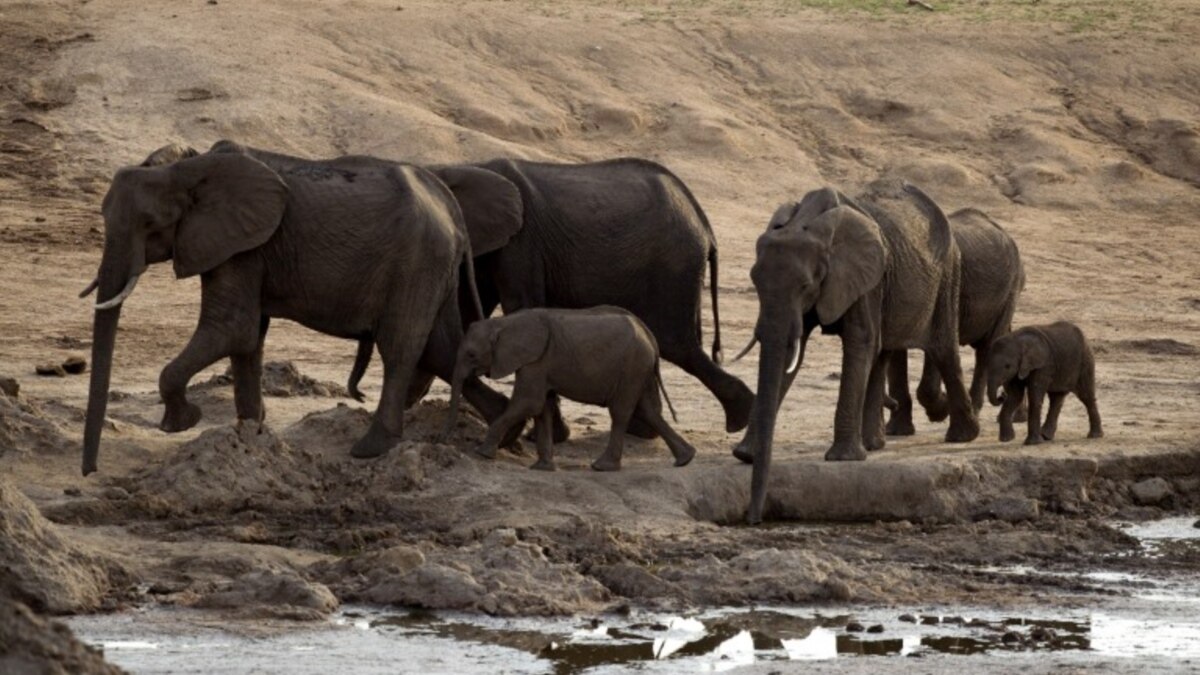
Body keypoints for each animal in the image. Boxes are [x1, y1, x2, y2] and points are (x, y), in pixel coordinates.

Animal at [79, 141, 515, 475]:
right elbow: (247, 337)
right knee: (442, 349)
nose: (91, 472)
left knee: (401, 349)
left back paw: (370, 449)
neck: (190, 164)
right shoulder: (245, 246)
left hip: (417, 262)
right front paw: (250, 432)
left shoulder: (242, 247)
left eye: (150, 223)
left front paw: (181, 424)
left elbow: (230, 328)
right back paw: (513, 431)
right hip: (436, 267)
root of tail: (450, 206)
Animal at [444, 307, 696, 472]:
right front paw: (542, 468)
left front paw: (482, 453)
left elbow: (529, 402)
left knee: (621, 412)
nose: (444, 440)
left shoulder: (536, 361)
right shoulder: (541, 364)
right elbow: (542, 407)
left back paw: (603, 467)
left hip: (632, 367)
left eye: (471, 355)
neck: (503, 323)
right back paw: (685, 459)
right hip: (638, 369)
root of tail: (650, 337)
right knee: (647, 411)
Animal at [733, 181, 980, 523]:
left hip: (947, 274)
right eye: (754, 281)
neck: (807, 222)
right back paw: (874, 444)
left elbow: (859, 340)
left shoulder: (865, 277)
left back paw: (961, 437)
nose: (754, 519)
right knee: (883, 350)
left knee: (942, 348)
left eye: (805, 285)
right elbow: (795, 350)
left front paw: (841, 459)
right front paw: (745, 454)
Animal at [885, 207, 1026, 435]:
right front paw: (896, 431)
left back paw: (979, 411)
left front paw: (941, 410)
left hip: (1010, 288)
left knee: (987, 348)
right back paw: (1016, 415)